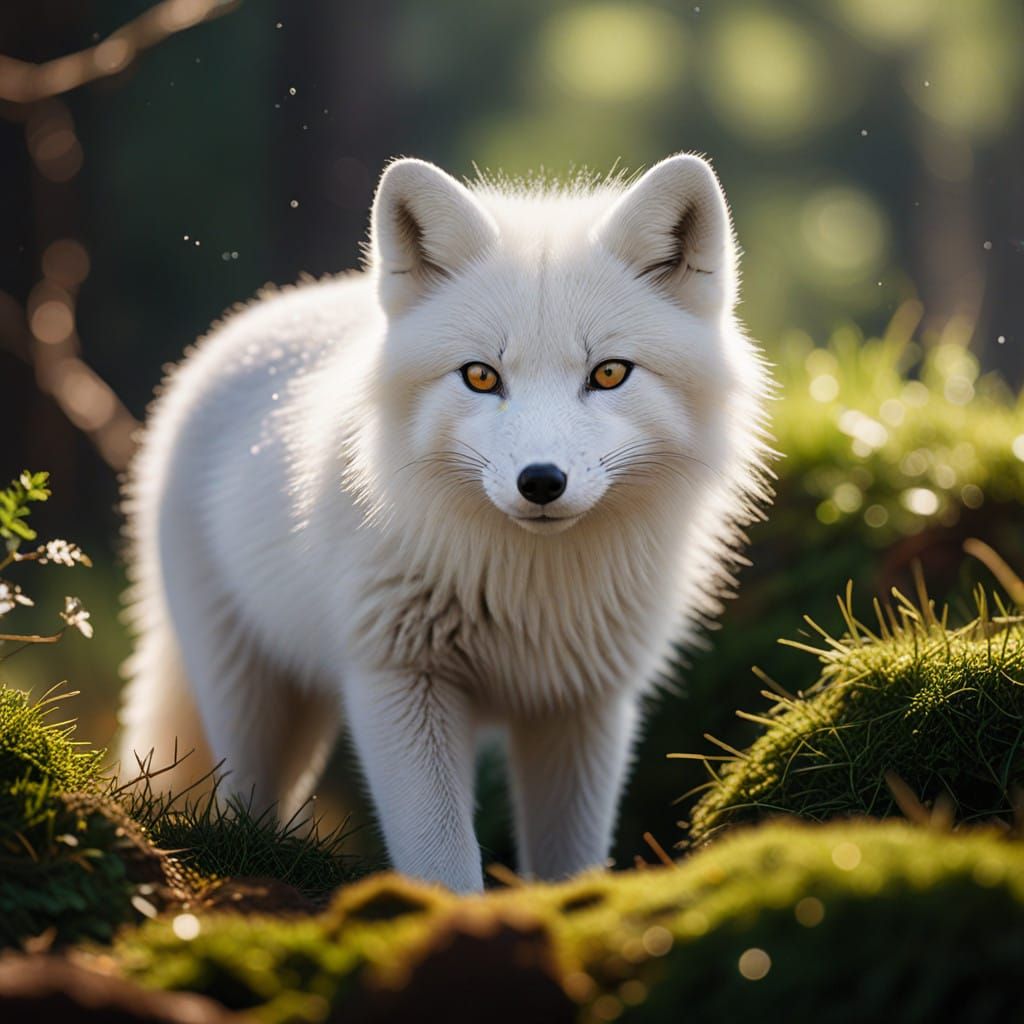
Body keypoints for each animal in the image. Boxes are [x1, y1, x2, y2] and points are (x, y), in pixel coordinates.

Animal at [117, 153, 771, 892]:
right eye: (481, 377)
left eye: (609, 373)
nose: (540, 482)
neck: (530, 595)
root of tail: (244, 323)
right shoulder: (399, 677)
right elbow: (441, 862)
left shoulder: (582, 704)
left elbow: (569, 865)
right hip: (250, 692)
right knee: (243, 805)